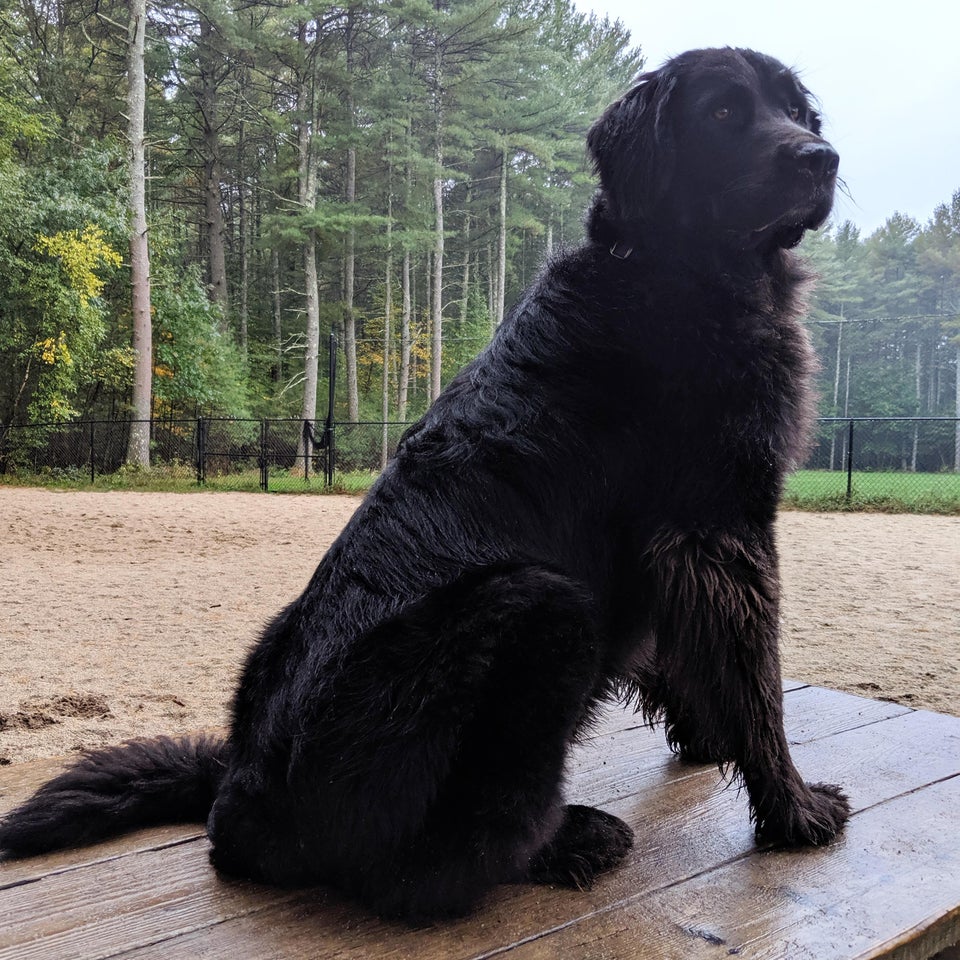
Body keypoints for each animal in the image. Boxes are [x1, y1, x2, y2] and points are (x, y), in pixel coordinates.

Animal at [0, 47, 852, 924]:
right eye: (723, 113)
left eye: (798, 112)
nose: (821, 158)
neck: (668, 265)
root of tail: (240, 797)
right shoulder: (722, 523)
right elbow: (759, 683)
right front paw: (792, 810)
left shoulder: (679, 543)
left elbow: (693, 660)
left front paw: (710, 743)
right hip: (543, 606)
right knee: (431, 871)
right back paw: (570, 840)